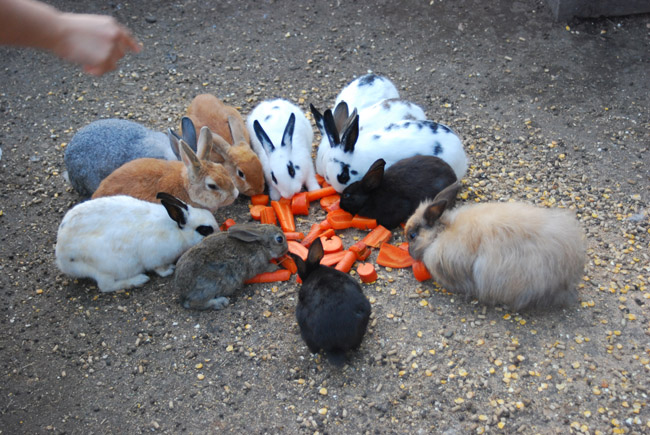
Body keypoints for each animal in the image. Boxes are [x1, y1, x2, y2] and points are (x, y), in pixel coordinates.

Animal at [55, 193, 218, 292]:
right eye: (204, 229)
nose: (218, 232)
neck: (177, 231)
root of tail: (61, 257)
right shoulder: (155, 258)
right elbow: (159, 269)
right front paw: (169, 270)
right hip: (105, 267)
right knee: (106, 286)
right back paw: (139, 279)